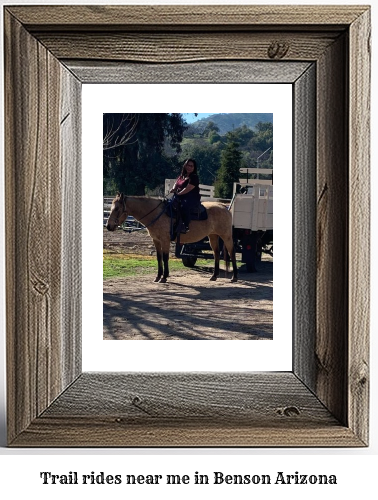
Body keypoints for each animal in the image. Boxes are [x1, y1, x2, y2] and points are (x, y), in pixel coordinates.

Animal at [105, 192, 238, 284]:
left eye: (117, 208)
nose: (108, 226)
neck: (157, 214)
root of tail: (223, 206)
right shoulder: (156, 240)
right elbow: (159, 258)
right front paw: (157, 277)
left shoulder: (165, 240)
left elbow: (165, 258)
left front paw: (164, 277)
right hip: (213, 236)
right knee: (216, 254)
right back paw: (214, 276)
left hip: (226, 236)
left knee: (232, 252)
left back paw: (234, 277)